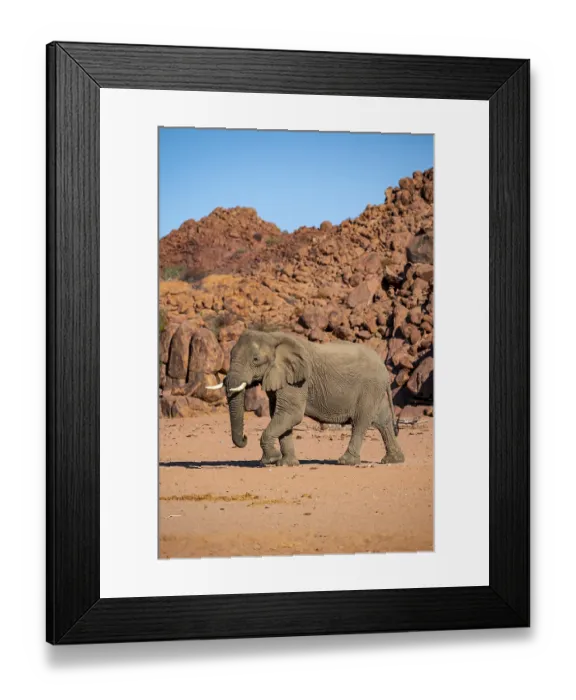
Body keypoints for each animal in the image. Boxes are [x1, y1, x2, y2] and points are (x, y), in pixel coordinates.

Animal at [206, 330, 405, 467]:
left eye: (255, 359)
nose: (245, 438)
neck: (272, 338)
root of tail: (383, 367)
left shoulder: (298, 381)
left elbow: (291, 414)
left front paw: (270, 460)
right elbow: (280, 416)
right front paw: (286, 464)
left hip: (369, 388)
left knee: (361, 422)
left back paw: (346, 461)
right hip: (376, 390)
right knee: (383, 422)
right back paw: (393, 460)